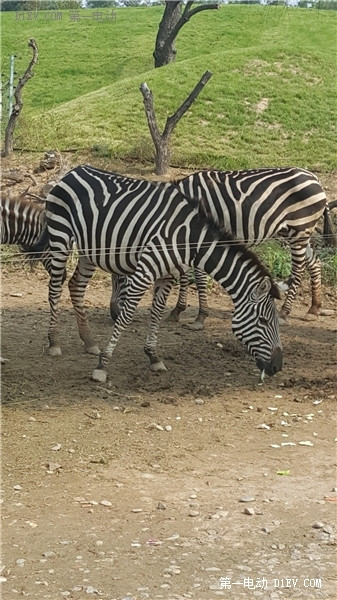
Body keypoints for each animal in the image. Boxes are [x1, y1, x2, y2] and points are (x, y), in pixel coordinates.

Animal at [28, 162, 280, 382]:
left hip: (90, 250)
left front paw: (153, 356)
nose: (278, 367)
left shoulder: (167, 276)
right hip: (60, 236)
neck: (189, 239)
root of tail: (73, 170)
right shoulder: (145, 271)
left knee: (76, 286)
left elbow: (157, 313)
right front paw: (102, 366)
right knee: (55, 287)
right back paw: (54, 342)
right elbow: (127, 315)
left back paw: (89, 341)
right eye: (264, 320)